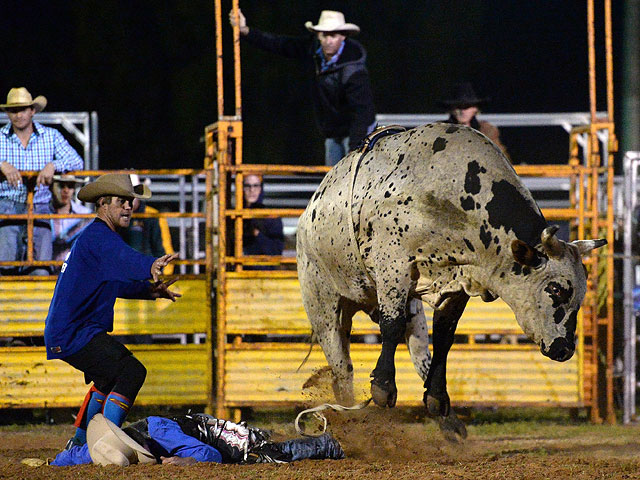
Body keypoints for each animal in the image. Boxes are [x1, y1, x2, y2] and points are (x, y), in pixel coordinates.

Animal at [296, 122, 604, 440]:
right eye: (554, 288)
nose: (565, 349)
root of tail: (309, 211)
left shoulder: (459, 280)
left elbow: (444, 337)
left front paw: (437, 399)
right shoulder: (393, 264)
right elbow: (391, 326)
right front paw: (383, 388)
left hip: (408, 307)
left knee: (419, 353)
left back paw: (450, 423)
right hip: (321, 299)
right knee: (341, 364)